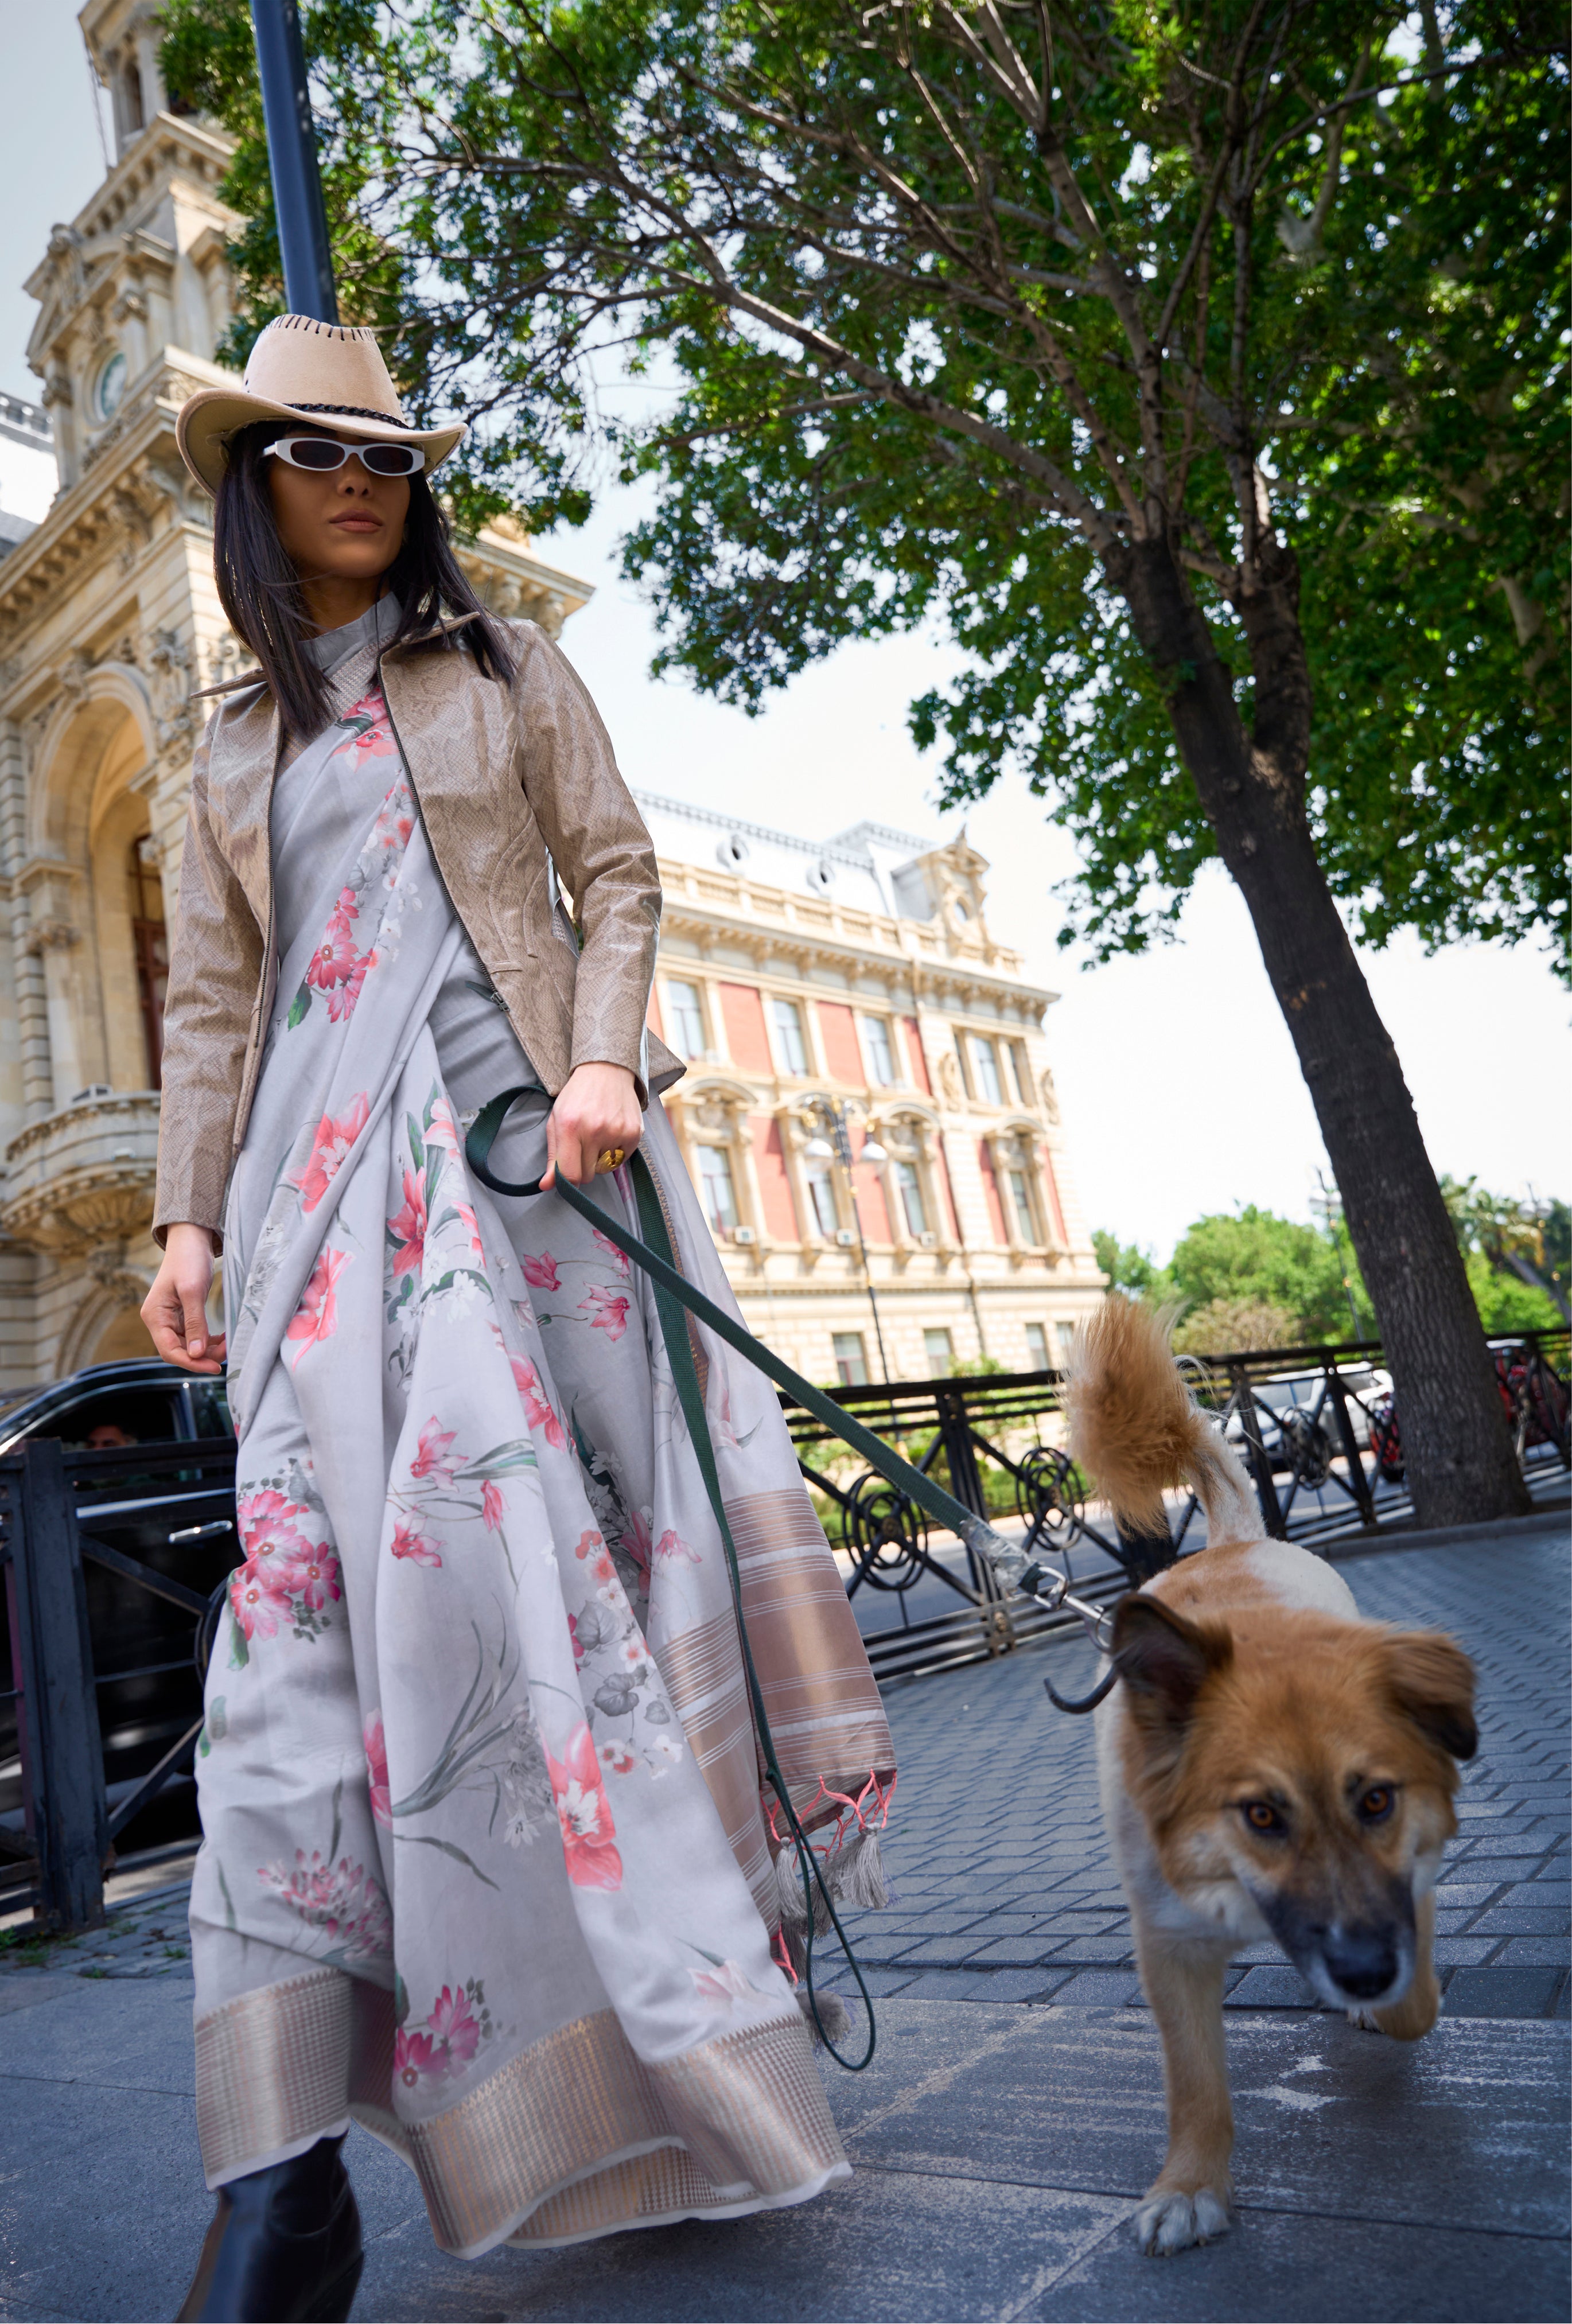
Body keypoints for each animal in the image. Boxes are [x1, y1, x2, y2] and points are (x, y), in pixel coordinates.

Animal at [1069, 1310, 1469, 2249]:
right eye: (1259, 1814)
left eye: (1376, 1800)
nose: (1360, 1970)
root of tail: (1230, 1542)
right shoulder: (1168, 1942)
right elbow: (1194, 2084)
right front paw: (1190, 2184)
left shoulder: (1409, 1881)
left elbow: (1415, 2001)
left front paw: (1385, 2003)